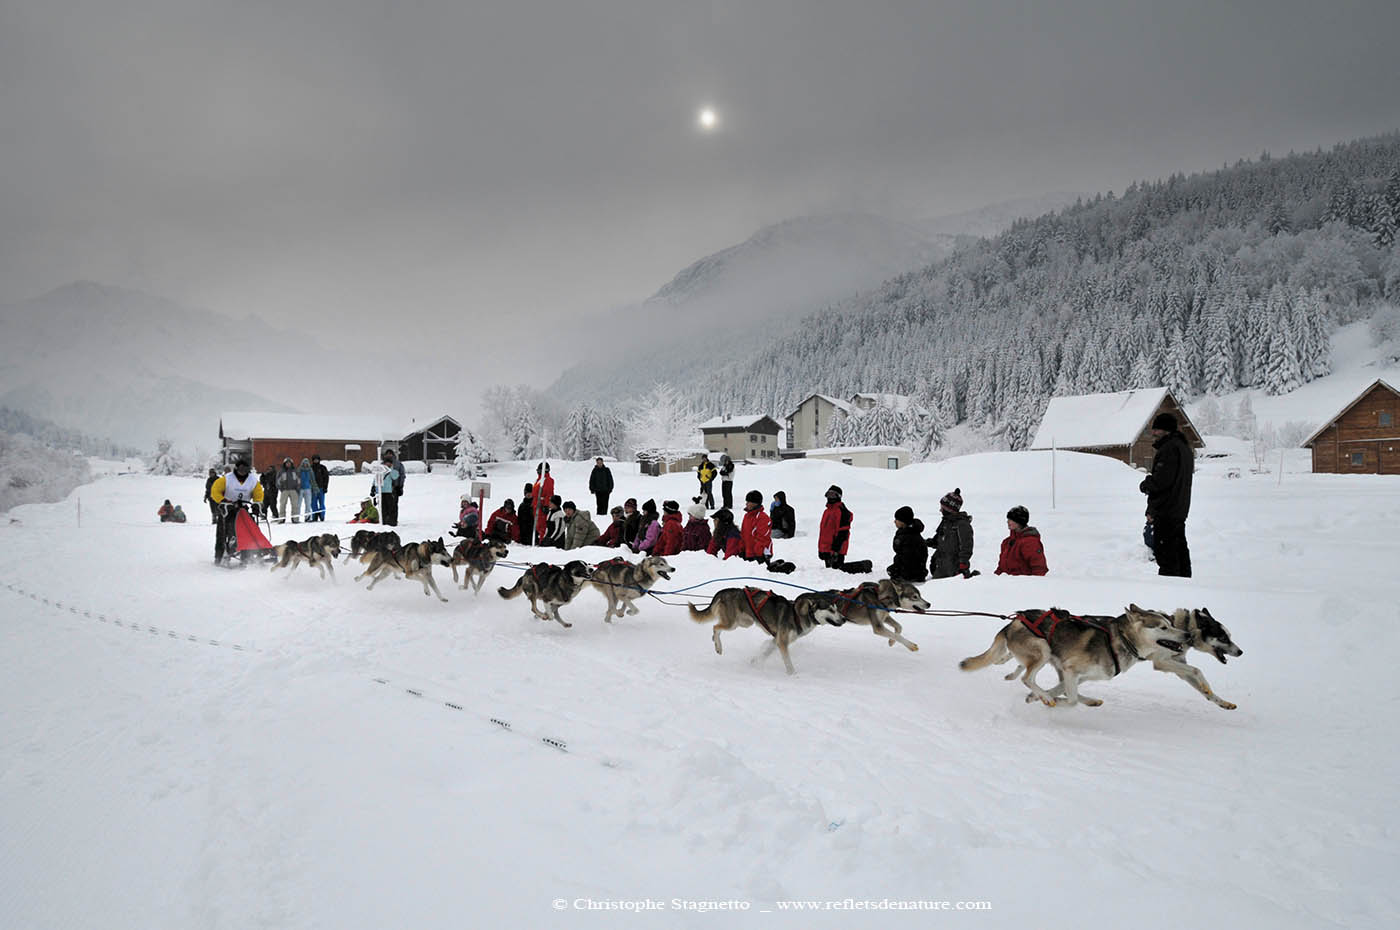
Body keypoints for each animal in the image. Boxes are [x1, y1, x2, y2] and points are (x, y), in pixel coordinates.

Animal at [691, 588, 845, 675]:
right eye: (830, 609)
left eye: (836, 608)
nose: (844, 619)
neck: (797, 615)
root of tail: (724, 591)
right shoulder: (782, 642)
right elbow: (788, 662)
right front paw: (793, 675)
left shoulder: (776, 640)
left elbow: (765, 653)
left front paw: (755, 662)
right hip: (732, 623)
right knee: (715, 627)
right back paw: (718, 646)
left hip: (744, 623)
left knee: (717, 628)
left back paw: (714, 640)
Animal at [957, 607, 1243, 708]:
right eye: (1162, 627)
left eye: (1170, 625)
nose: (1185, 635)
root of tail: (1011, 622)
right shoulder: (1070, 670)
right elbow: (1070, 699)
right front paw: (1049, 699)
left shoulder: (1075, 674)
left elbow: (1069, 692)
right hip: (1043, 649)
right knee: (1028, 677)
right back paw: (1044, 695)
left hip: (1048, 656)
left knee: (1021, 671)